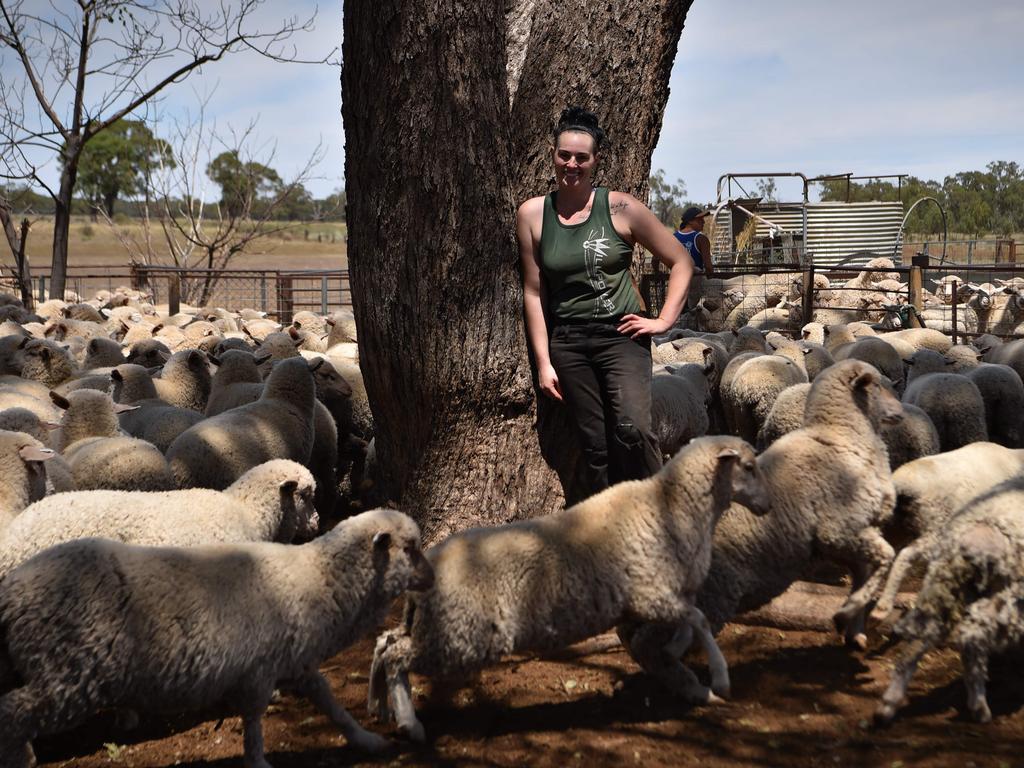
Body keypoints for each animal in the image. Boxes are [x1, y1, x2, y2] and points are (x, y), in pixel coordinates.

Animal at [0, 507, 434, 765]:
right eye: (411, 548)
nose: (431, 578)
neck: (316, 580)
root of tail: (12, 592)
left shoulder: (297, 663)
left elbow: (331, 703)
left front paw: (366, 740)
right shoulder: (260, 672)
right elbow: (254, 724)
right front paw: (258, 761)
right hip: (70, 673)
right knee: (12, 713)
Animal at [368, 438, 770, 745]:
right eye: (749, 466)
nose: (765, 506)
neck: (672, 506)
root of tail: (428, 567)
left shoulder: (656, 599)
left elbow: (689, 623)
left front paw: (679, 658)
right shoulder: (651, 592)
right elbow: (699, 620)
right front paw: (720, 677)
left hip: (435, 626)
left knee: (385, 643)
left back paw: (379, 706)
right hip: (457, 635)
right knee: (396, 658)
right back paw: (409, 723)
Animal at [876, 479, 1024, 724]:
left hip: (943, 583)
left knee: (919, 639)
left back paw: (888, 705)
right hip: (1011, 595)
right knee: (972, 636)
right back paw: (980, 707)